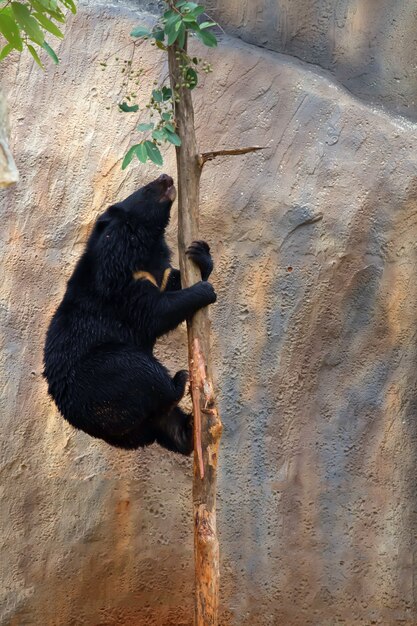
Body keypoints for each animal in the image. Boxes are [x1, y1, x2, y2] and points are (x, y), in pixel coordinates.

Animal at [44, 174, 216, 454]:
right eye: (147, 188)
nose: (166, 177)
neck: (141, 246)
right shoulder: (118, 285)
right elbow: (155, 312)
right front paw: (204, 290)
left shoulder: (155, 271)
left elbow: (171, 281)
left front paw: (200, 253)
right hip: (109, 373)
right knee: (144, 373)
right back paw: (180, 381)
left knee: (168, 422)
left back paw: (190, 429)